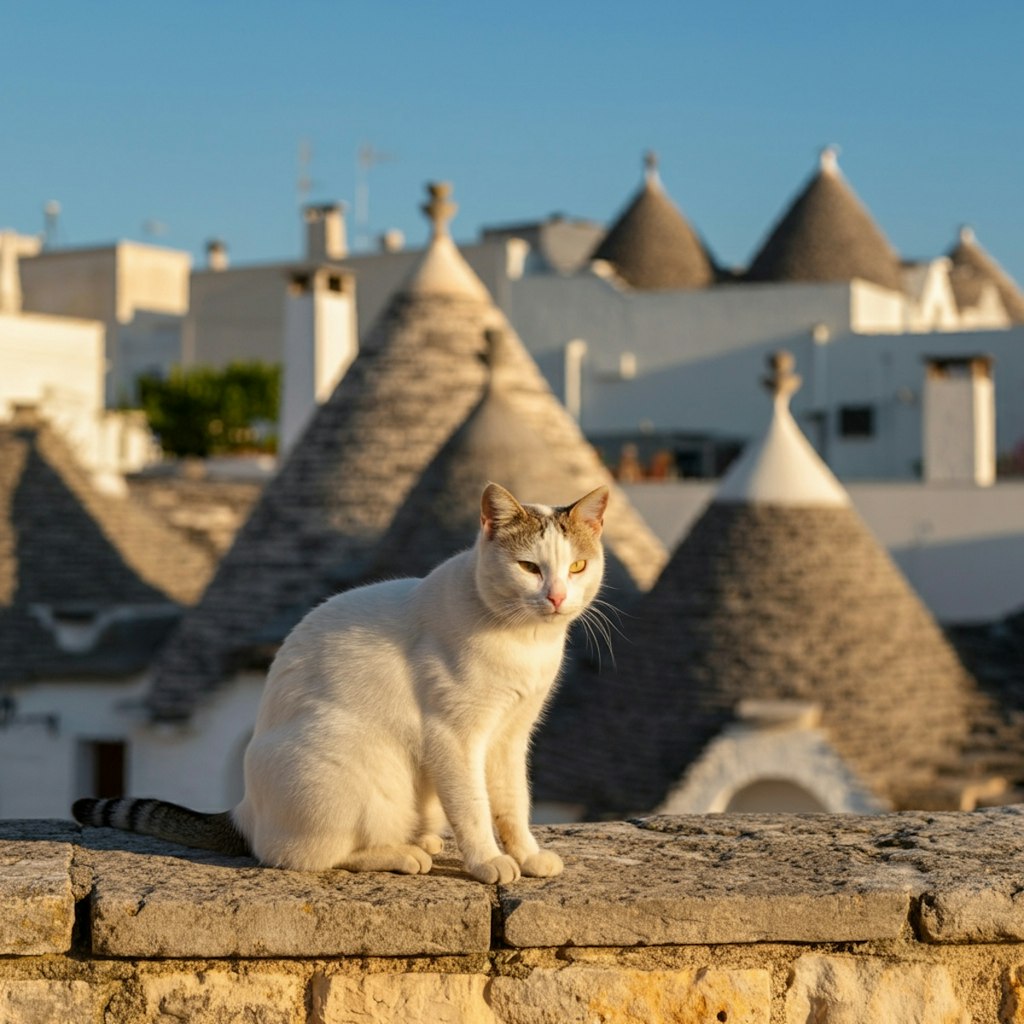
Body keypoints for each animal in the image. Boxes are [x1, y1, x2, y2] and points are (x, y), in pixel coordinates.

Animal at [77, 483, 614, 884]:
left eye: (577, 566)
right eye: (529, 567)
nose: (556, 596)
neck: (524, 642)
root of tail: (245, 809)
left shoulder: (510, 737)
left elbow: (512, 804)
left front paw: (526, 854)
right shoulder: (455, 738)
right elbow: (475, 808)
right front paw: (487, 862)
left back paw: (420, 838)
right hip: (346, 764)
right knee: (304, 856)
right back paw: (401, 854)